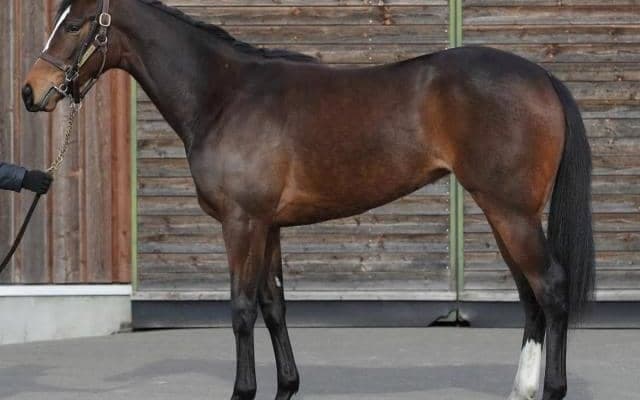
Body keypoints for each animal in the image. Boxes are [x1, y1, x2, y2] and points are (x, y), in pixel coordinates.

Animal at [23, 1, 595, 399]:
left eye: (74, 24)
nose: (31, 90)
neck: (224, 97)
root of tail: (541, 77)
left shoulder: (241, 224)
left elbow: (241, 309)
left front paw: (243, 390)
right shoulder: (269, 226)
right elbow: (274, 307)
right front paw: (287, 386)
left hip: (512, 213)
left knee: (551, 288)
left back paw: (553, 388)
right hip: (505, 214)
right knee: (530, 297)